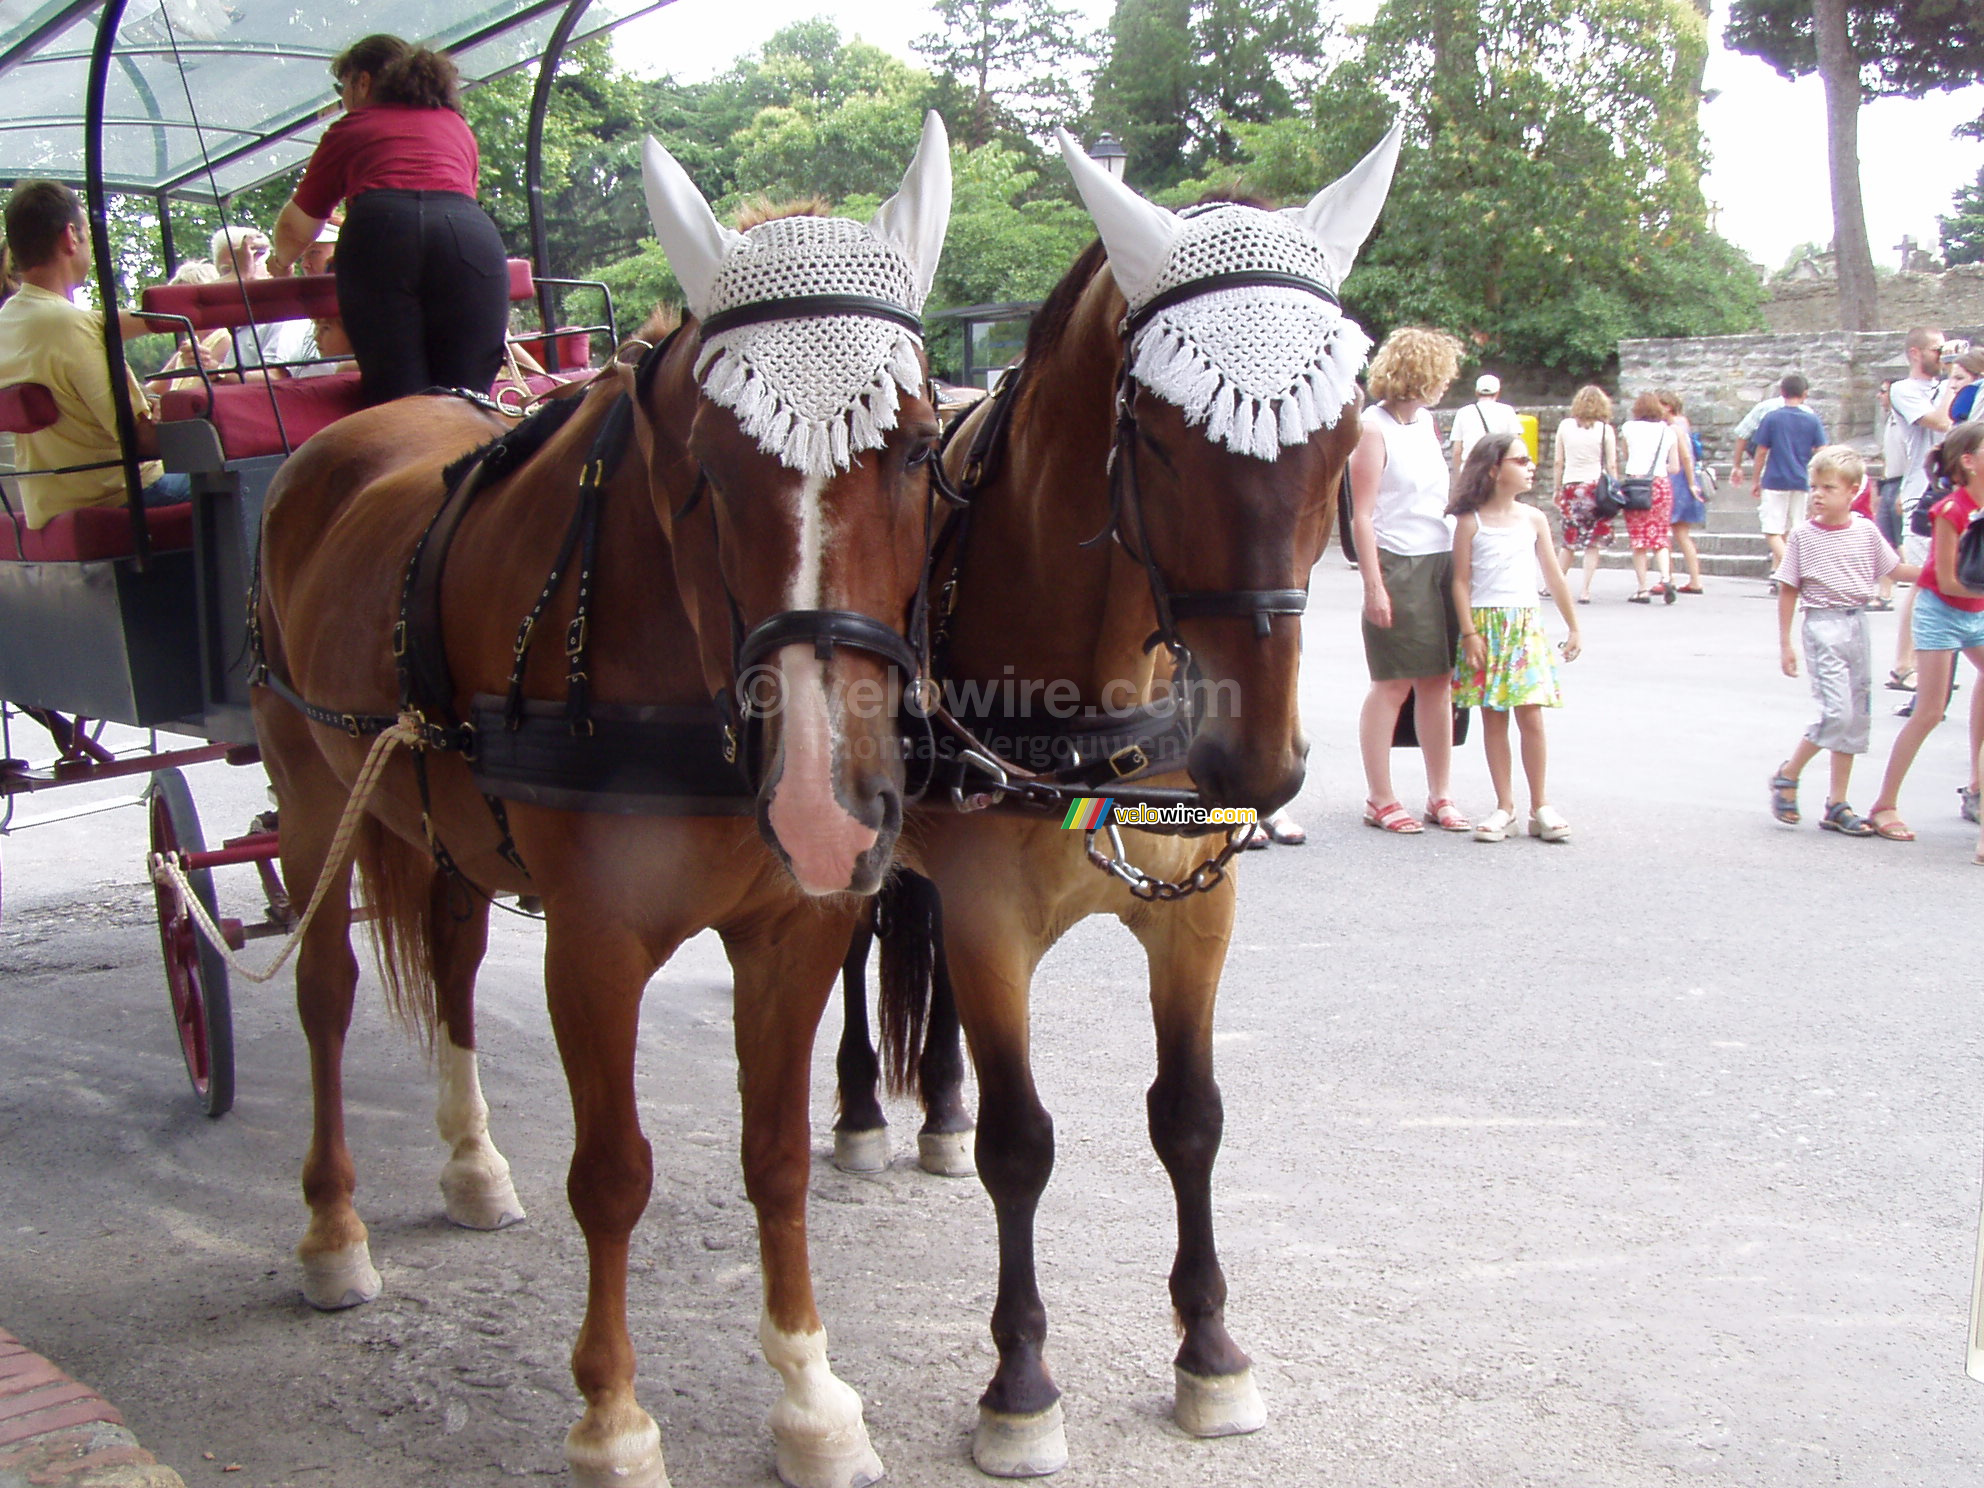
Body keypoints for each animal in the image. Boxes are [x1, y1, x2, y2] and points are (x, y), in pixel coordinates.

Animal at [251, 116, 948, 1488]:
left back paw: (469, 1164)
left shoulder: (793, 930)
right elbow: (614, 1175)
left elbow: (777, 1157)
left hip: (445, 829)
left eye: (910, 442)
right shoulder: (595, 944)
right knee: (326, 996)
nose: (823, 809)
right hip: (312, 804)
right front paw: (613, 1418)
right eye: (708, 467)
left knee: (453, 962)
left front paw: (808, 1395)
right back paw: (330, 1231)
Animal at [872, 122, 1412, 1476]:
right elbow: (1025, 1145)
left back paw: (935, 1105)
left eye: (1343, 440)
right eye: (1161, 438)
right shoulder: (991, 925)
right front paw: (1020, 1381)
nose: (1256, 761)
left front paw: (1209, 1348)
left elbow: (1190, 1118)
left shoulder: (1194, 914)